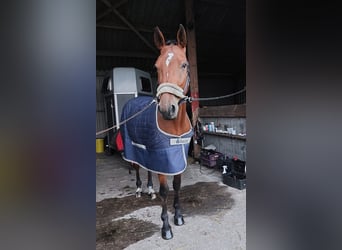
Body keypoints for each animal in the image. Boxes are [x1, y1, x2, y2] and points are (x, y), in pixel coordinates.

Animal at [120, 24, 191, 239]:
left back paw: (149, 190)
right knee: (137, 168)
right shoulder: (163, 158)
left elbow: (176, 186)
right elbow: (165, 191)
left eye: (184, 64)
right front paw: (166, 227)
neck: (175, 126)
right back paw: (139, 189)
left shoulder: (176, 158)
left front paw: (178, 217)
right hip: (135, 149)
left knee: (148, 169)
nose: (168, 109)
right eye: (156, 67)